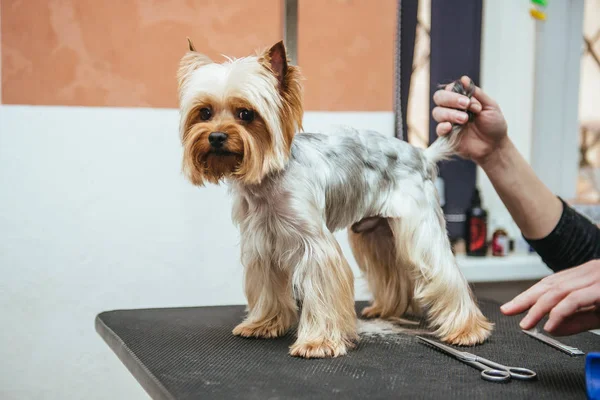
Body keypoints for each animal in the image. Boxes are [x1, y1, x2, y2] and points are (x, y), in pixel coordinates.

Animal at [177, 39, 492, 360]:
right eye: (204, 113)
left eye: (245, 114)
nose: (216, 137)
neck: (268, 179)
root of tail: (422, 154)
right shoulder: (261, 244)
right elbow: (267, 288)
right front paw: (263, 324)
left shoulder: (315, 245)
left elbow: (321, 289)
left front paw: (318, 342)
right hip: (377, 231)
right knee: (393, 268)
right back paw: (389, 310)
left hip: (419, 227)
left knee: (443, 270)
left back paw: (467, 330)